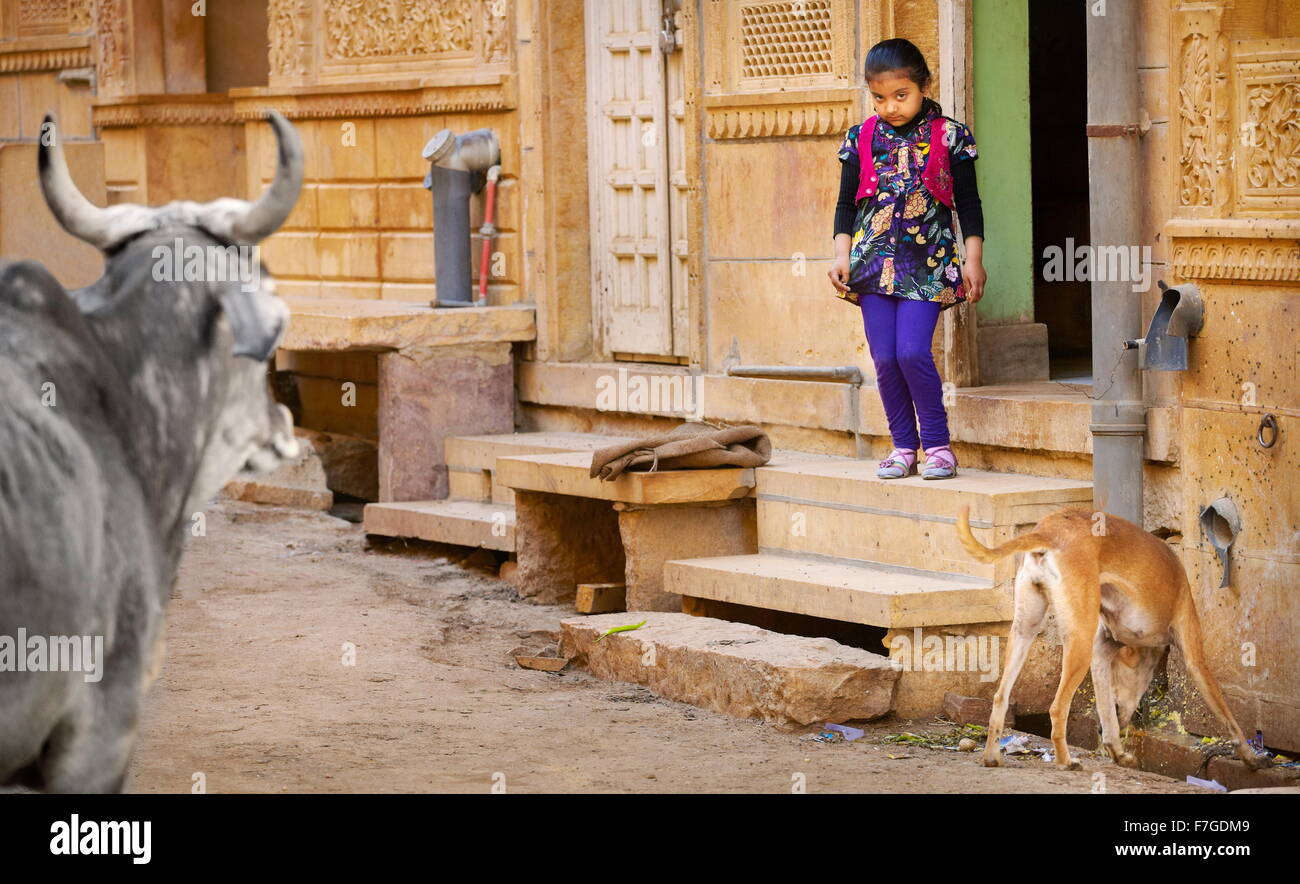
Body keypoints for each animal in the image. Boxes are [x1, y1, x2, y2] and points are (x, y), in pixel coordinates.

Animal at [951, 504, 1263, 774]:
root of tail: (1049, 530)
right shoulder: (1193, 656)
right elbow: (1228, 717)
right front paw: (1250, 757)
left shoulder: (1102, 652)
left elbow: (1108, 716)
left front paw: (1118, 753)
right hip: (1078, 641)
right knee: (1057, 708)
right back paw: (1065, 761)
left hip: (1025, 629)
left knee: (1000, 696)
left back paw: (991, 755)